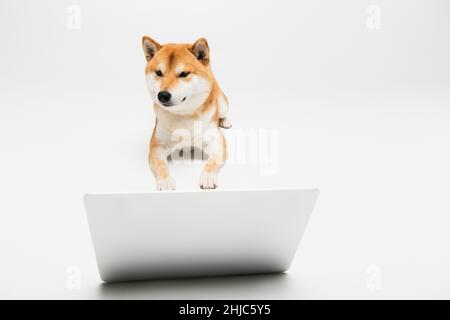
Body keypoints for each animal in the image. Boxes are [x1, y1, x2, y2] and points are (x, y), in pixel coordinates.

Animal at [142, 36, 232, 190]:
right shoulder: (157, 145)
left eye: (183, 74)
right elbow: (161, 166)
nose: (163, 95)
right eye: (159, 73)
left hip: (222, 103)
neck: (183, 115)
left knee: (223, 112)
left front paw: (208, 176)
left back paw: (225, 121)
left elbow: (212, 162)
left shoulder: (216, 142)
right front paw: (165, 181)